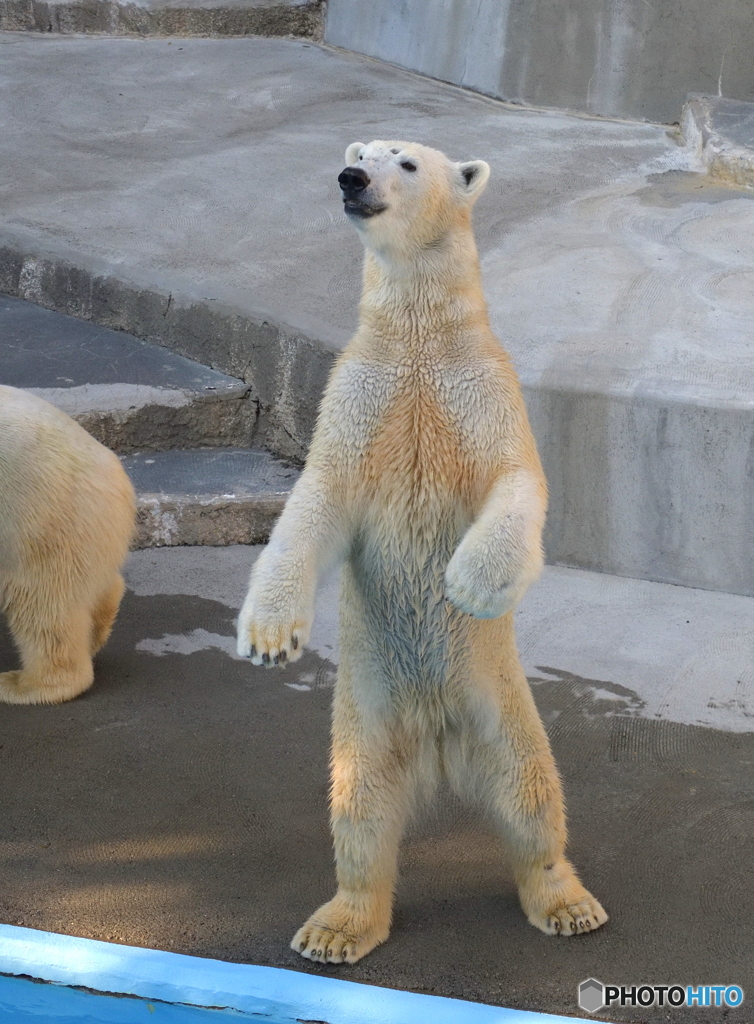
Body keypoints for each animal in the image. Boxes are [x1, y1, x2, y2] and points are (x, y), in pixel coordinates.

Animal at [235, 140, 606, 962]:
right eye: (359, 150)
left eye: (403, 162)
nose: (351, 178)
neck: (418, 338)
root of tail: (439, 741)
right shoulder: (360, 395)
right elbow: (317, 498)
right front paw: (270, 637)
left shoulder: (481, 387)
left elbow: (517, 480)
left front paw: (466, 584)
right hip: (365, 714)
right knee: (360, 808)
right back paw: (338, 926)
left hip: (499, 703)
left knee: (531, 792)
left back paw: (566, 901)